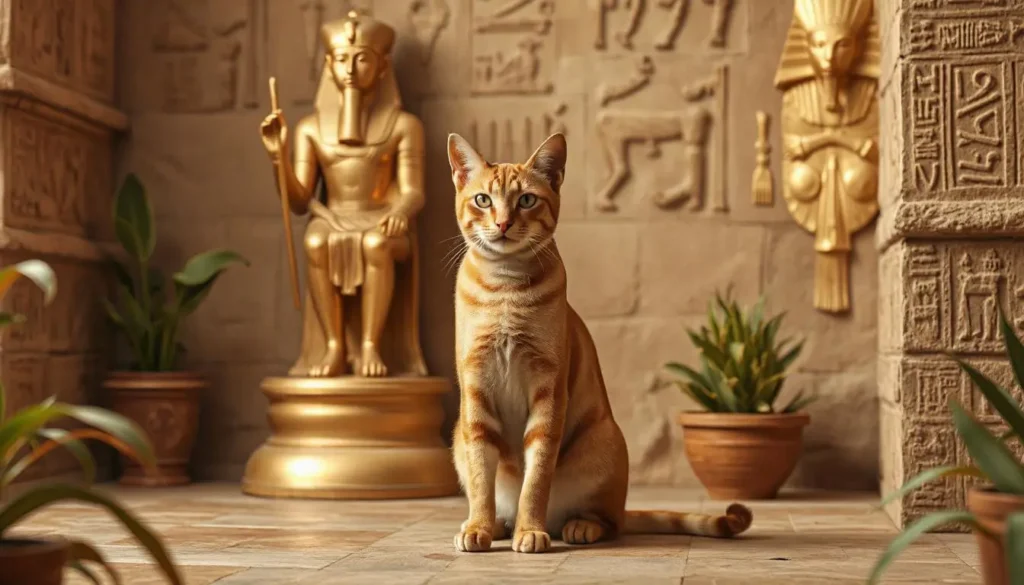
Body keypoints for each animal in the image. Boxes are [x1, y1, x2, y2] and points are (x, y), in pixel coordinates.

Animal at [446, 131, 753, 553]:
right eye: (483, 200)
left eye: (526, 200)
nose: (503, 222)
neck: (505, 289)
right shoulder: (475, 395)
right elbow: (480, 479)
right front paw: (479, 526)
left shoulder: (548, 392)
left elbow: (535, 480)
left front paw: (530, 530)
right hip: (457, 438)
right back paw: (498, 524)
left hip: (604, 442)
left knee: (608, 521)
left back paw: (576, 526)